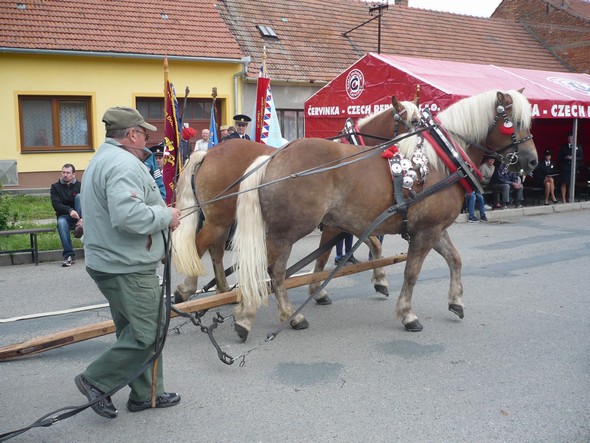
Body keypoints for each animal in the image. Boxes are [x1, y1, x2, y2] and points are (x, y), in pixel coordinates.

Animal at [171, 97, 420, 306]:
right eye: (414, 121)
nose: (419, 156)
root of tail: (209, 153)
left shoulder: (352, 221)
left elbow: (371, 245)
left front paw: (380, 280)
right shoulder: (338, 223)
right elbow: (325, 256)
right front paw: (319, 290)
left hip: (222, 219)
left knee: (216, 251)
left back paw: (223, 290)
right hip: (218, 219)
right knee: (200, 246)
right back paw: (186, 289)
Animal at [232, 88, 540, 342]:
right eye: (514, 122)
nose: (532, 161)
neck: (441, 162)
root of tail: (273, 156)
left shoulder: (433, 228)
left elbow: (455, 259)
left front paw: (456, 301)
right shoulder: (424, 231)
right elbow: (411, 272)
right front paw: (407, 314)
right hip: (287, 230)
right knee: (272, 271)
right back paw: (268, 316)